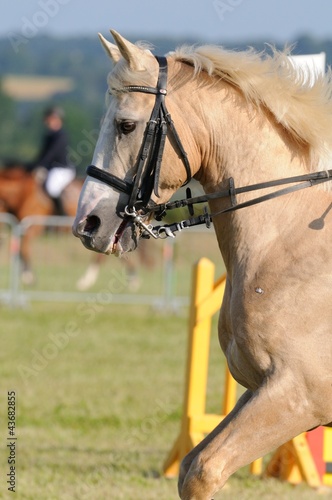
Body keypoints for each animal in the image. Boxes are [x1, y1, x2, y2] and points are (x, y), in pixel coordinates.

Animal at [74, 31, 332, 500]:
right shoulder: (263, 389)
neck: (288, 232)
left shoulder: (300, 395)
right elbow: (192, 465)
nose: (87, 223)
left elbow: (204, 471)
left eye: (125, 125)